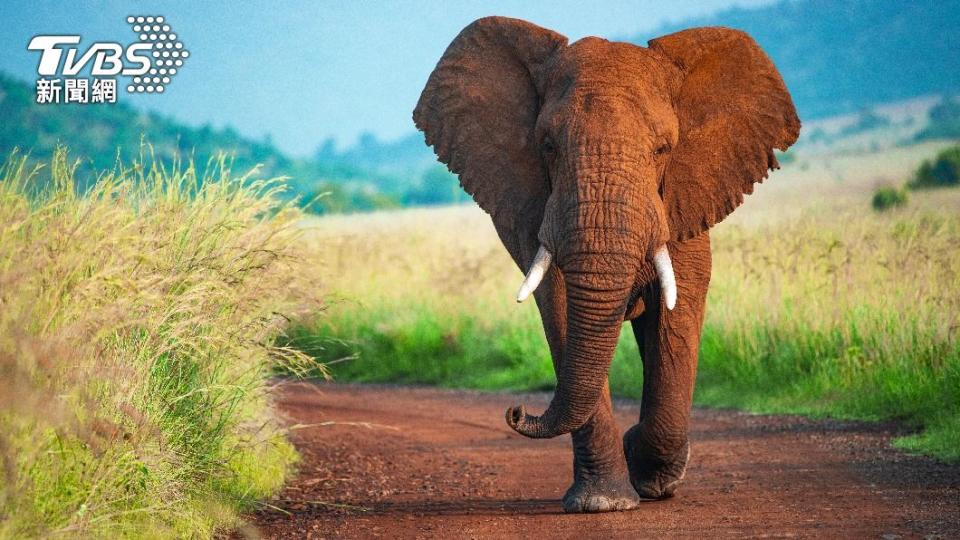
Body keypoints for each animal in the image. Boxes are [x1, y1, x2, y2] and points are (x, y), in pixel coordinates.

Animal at [414, 16, 804, 512]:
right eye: (547, 146)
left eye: (664, 149)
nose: (517, 410)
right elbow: (562, 309)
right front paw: (603, 503)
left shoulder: (682, 201)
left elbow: (676, 314)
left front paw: (649, 475)